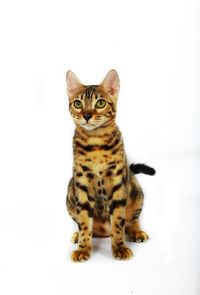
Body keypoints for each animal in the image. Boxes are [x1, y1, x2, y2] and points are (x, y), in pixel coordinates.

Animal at [65, 70, 155, 264]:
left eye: (100, 103)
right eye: (78, 103)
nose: (87, 115)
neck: (96, 143)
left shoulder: (117, 182)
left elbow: (118, 221)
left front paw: (119, 247)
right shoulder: (81, 183)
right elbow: (84, 222)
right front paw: (83, 248)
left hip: (135, 189)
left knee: (131, 220)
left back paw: (136, 232)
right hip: (70, 191)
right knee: (83, 224)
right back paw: (78, 235)